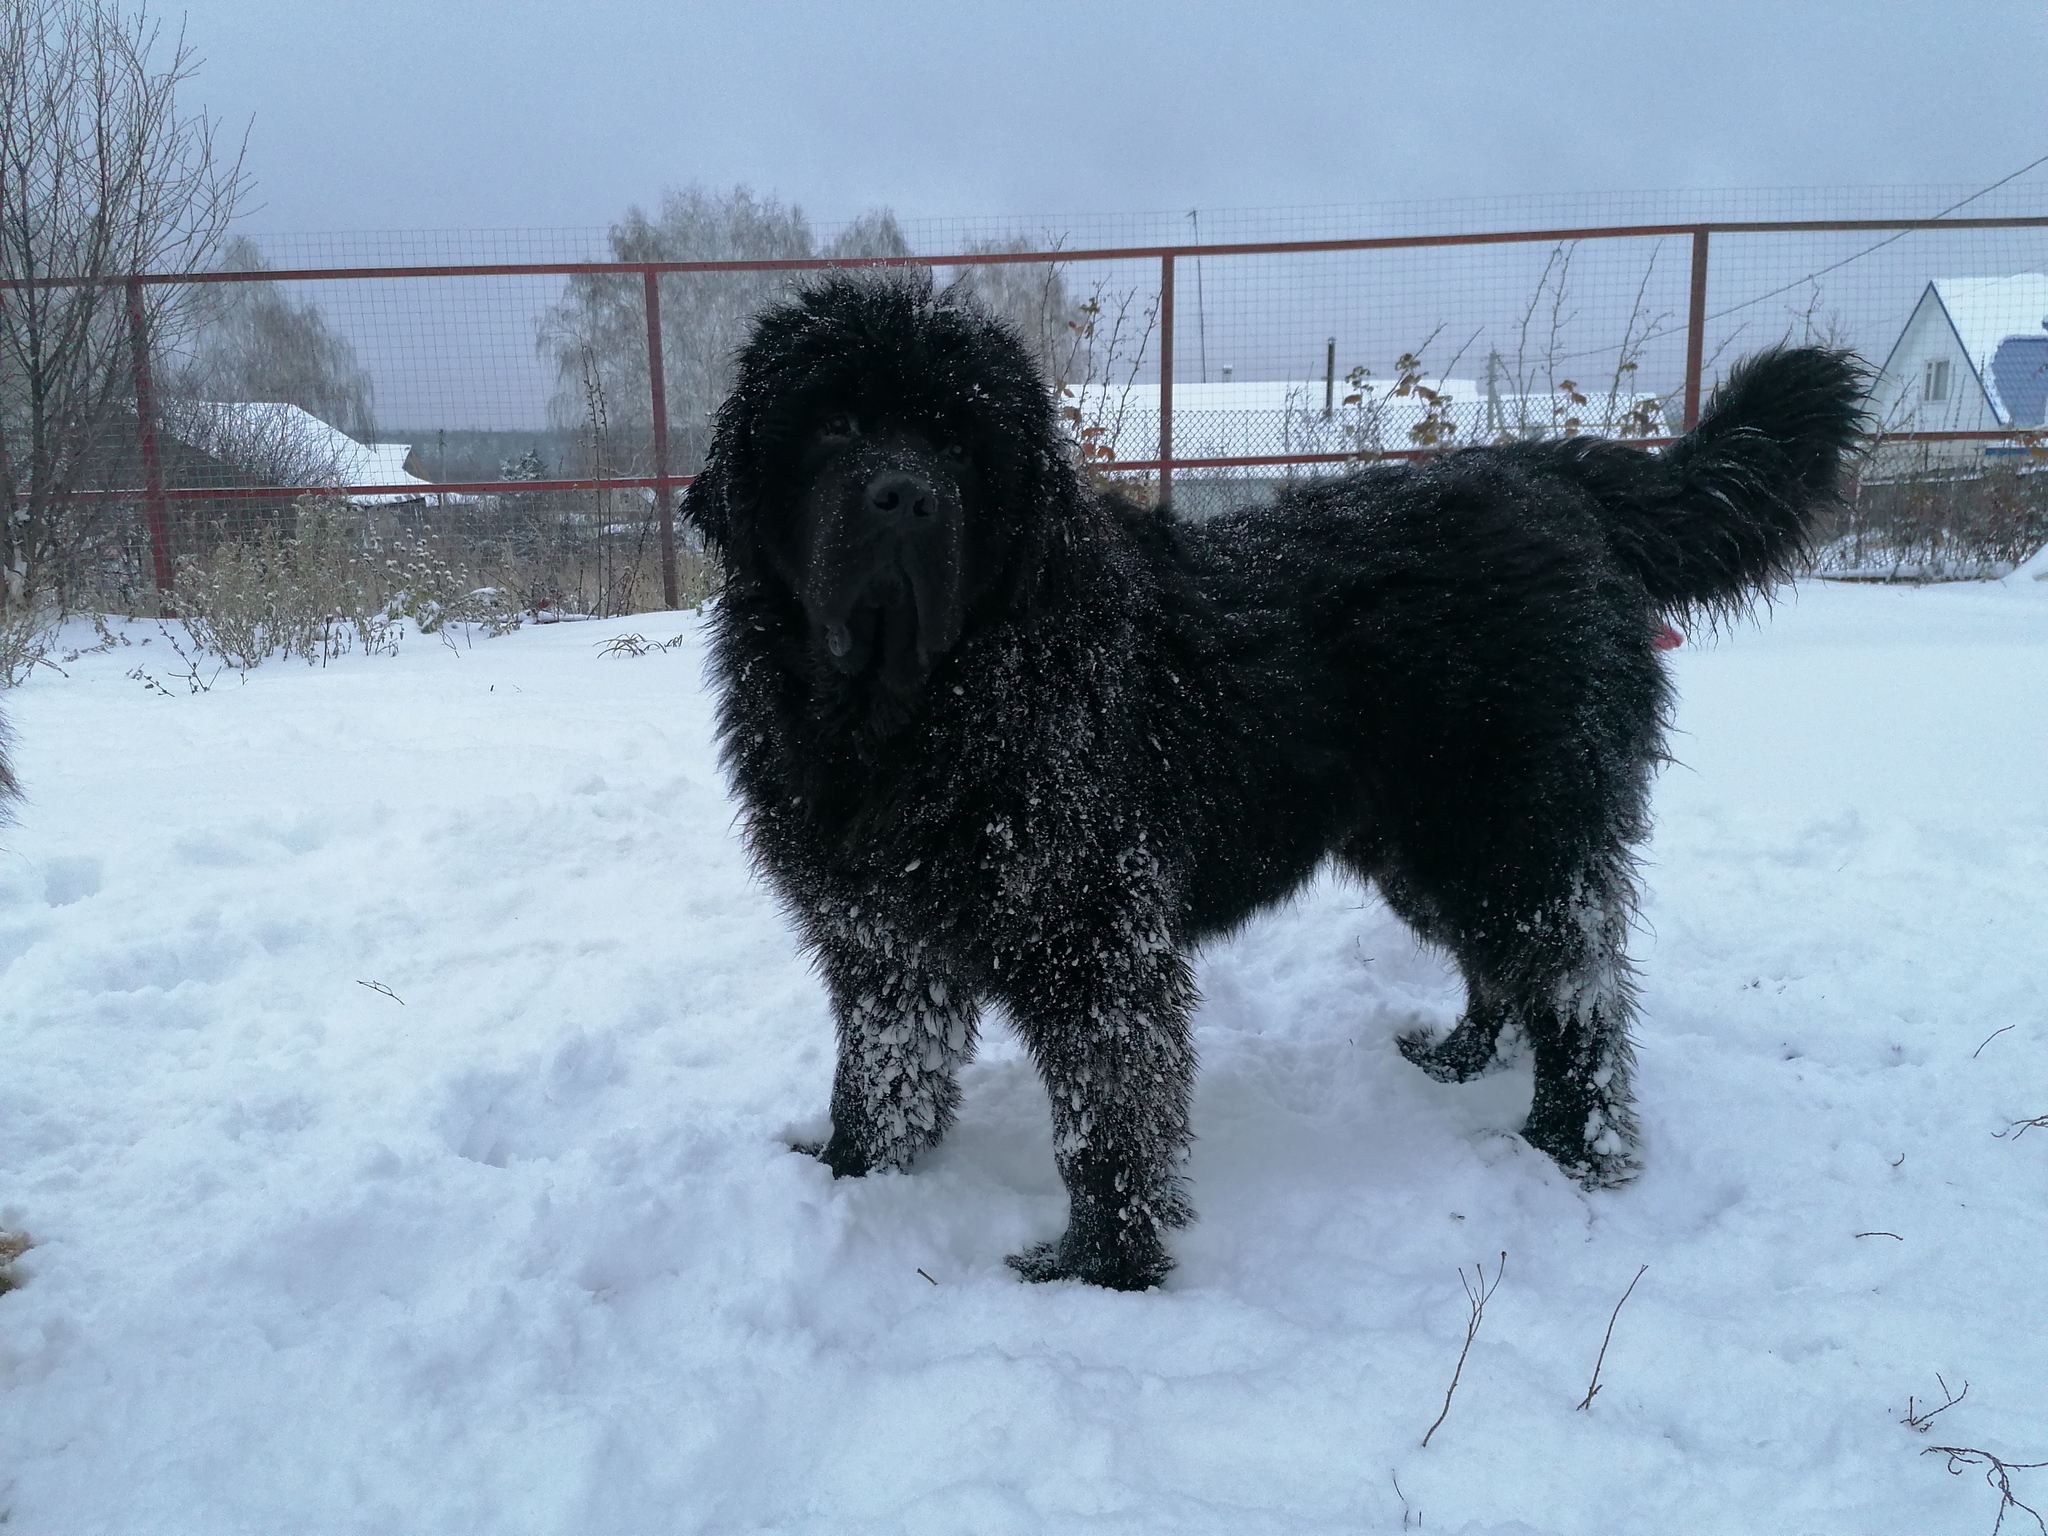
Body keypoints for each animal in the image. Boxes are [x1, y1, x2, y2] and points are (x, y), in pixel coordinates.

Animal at [684, 274, 1859, 1286]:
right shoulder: (879, 938)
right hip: (1422, 844)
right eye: (834, 427)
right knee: (1505, 967)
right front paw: (854, 1178)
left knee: (1577, 988)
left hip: (1511, 830)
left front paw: (1098, 1270)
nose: (901, 497)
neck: (915, 710)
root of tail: (1556, 479)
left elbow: (1108, 1115)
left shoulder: (1097, 941)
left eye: (955, 441)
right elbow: (885, 1071)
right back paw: (1458, 1060)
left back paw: (1573, 1146)